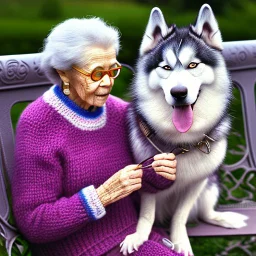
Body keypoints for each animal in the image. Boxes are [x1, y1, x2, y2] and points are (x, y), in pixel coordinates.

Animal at [120, 4, 248, 256]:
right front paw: (139, 236)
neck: (182, 143)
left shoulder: (197, 183)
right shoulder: (146, 180)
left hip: (211, 184)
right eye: (166, 67)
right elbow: (147, 215)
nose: (179, 93)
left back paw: (224, 218)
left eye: (193, 65)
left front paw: (180, 241)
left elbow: (180, 215)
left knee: (205, 212)